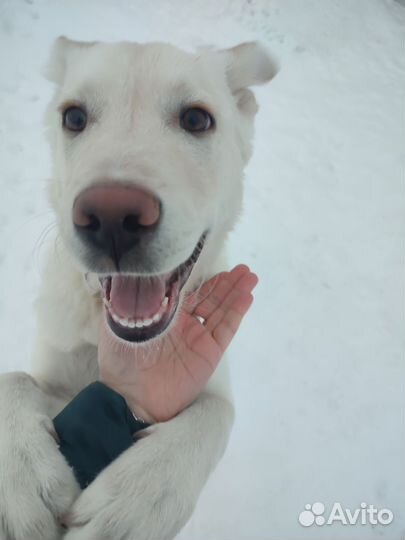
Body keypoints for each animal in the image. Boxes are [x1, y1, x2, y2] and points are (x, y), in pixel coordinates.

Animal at [0, 39, 274, 540]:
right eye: (73, 117)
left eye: (196, 119)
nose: (110, 217)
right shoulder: (50, 370)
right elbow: (13, 379)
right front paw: (23, 480)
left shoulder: (212, 384)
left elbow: (216, 415)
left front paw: (135, 503)